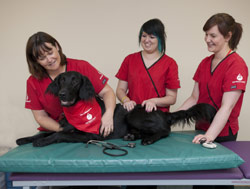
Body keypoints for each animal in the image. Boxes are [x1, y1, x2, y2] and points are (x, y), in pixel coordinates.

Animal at [17, 71, 217, 146]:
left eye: (74, 81)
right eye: (61, 80)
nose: (62, 94)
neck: (76, 109)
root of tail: (162, 113)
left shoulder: (89, 135)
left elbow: (58, 135)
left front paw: (42, 142)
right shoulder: (66, 127)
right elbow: (46, 132)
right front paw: (24, 139)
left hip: (133, 116)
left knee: (165, 131)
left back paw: (148, 139)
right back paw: (132, 136)